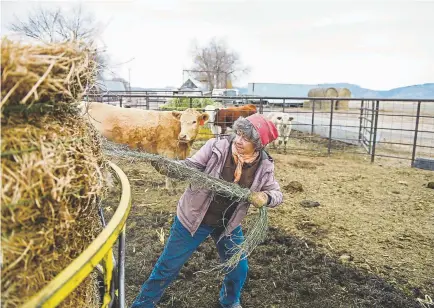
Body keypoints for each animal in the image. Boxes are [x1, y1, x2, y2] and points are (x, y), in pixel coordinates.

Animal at [82, 101, 210, 188]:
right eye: (181, 121)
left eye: (194, 121)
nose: (182, 136)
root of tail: (91, 104)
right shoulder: (167, 152)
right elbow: (168, 171)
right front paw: (169, 188)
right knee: (101, 165)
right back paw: (109, 185)